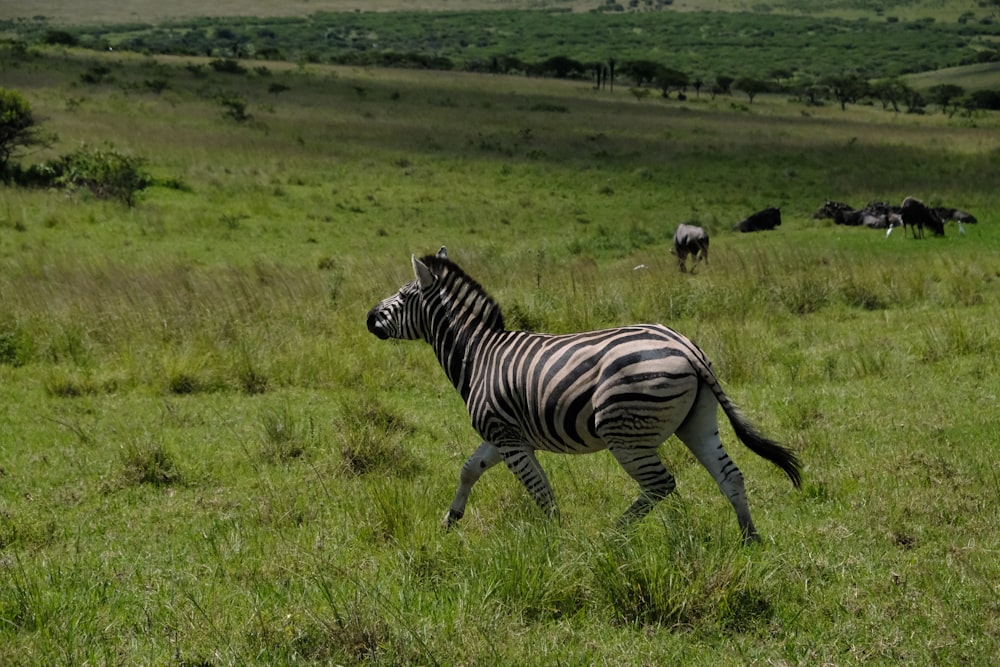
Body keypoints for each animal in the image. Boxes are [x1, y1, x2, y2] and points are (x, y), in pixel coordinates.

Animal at [364, 248, 800, 544]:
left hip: (625, 431)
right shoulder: (501, 435)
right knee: (729, 475)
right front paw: (450, 519)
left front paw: (555, 538)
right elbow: (469, 469)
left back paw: (614, 534)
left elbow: (540, 491)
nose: (368, 318)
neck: (478, 353)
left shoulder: (508, 437)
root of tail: (686, 346)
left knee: (661, 484)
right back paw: (749, 538)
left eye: (402, 296)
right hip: (698, 421)